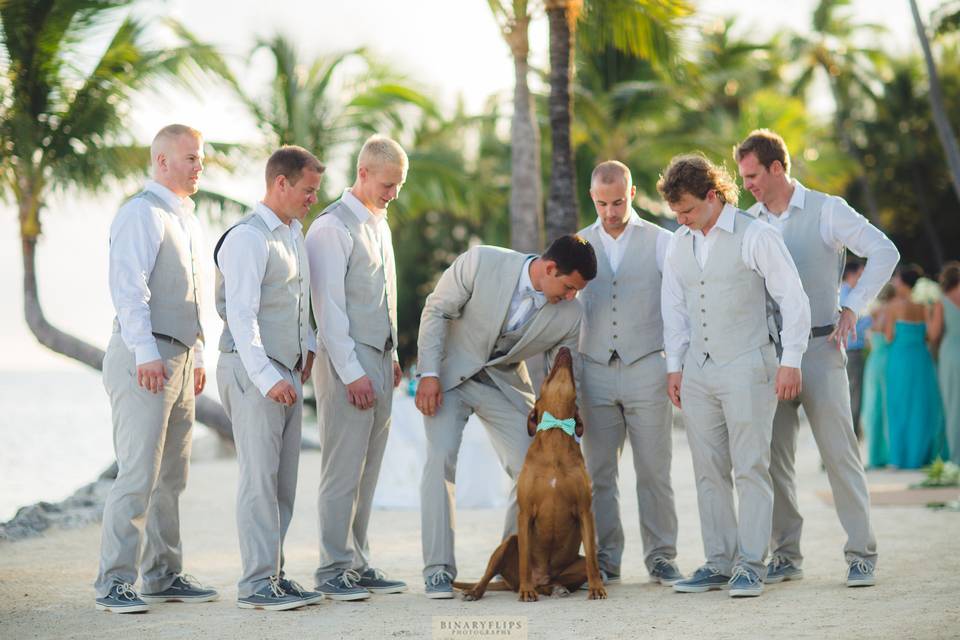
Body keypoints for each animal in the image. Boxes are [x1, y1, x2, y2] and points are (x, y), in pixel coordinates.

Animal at [458, 344, 608, 600]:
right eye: (547, 377)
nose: (564, 348)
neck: (556, 432)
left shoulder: (585, 511)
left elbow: (593, 562)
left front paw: (597, 587)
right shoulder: (525, 513)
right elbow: (525, 559)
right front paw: (527, 592)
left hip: (571, 566)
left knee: (564, 576)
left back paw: (556, 588)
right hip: (507, 544)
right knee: (491, 573)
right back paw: (482, 590)